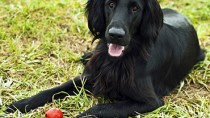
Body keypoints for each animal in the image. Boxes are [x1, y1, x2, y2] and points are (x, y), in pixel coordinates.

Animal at [5, 0, 204, 117]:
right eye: (110, 4)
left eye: (135, 8)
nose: (115, 34)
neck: (120, 59)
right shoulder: (91, 76)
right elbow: (52, 90)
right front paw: (20, 104)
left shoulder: (150, 101)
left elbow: (99, 108)